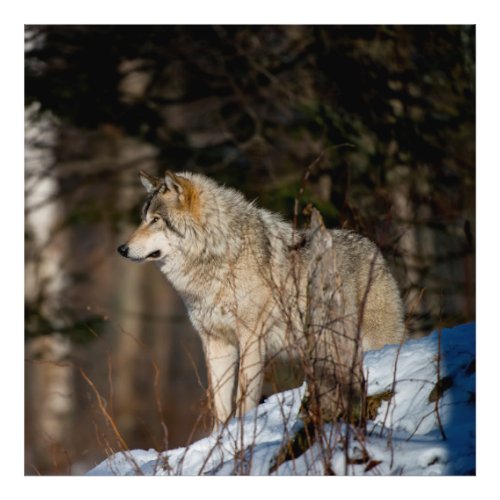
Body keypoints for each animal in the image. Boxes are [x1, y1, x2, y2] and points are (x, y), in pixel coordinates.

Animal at [118, 170, 406, 428]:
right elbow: (220, 405)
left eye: (156, 220)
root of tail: (374, 249)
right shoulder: (215, 342)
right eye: (143, 219)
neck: (223, 255)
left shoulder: (251, 338)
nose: (122, 249)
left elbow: (244, 399)